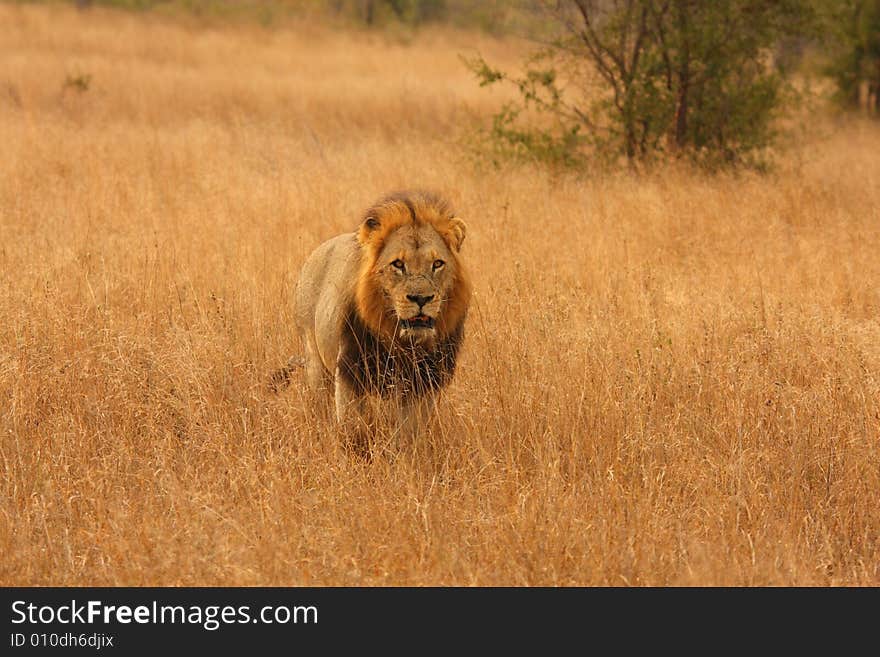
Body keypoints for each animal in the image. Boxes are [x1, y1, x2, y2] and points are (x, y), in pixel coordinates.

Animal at [290, 190, 470, 446]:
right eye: (398, 264)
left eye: (437, 264)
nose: (421, 298)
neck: (400, 340)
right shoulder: (351, 371)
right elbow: (355, 428)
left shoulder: (424, 381)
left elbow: (410, 431)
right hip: (315, 360)